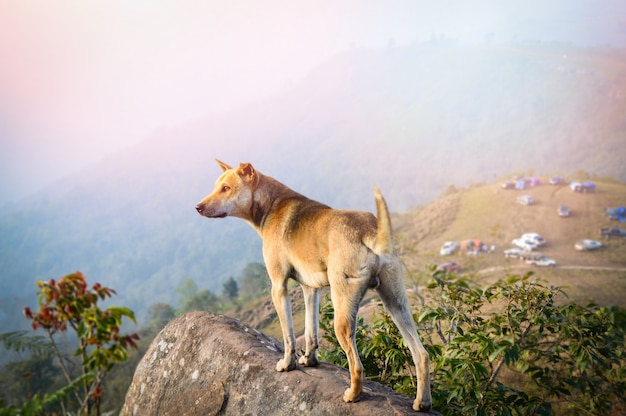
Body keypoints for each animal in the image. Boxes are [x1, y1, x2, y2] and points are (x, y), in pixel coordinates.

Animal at [195, 161, 428, 412]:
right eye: (216, 186)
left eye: (226, 188)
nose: (198, 207)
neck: (271, 205)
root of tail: (367, 230)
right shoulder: (310, 289)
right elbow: (310, 332)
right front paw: (310, 360)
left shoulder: (278, 287)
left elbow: (288, 337)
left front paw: (288, 364)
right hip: (396, 304)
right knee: (421, 354)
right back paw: (422, 402)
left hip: (342, 313)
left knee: (357, 365)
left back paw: (353, 395)